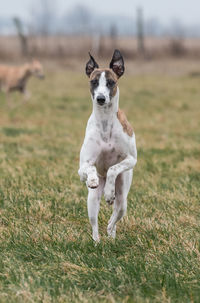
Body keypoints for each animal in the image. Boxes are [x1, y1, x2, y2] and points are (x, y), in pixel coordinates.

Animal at [79, 50, 137, 245]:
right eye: (94, 82)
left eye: (111, 82)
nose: (101, 99)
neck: (105, 122)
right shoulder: (81, 168)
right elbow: (88, 169)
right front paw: (92, 179)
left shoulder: (131, 159)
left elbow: (113, 168)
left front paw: (109, 192)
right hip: (91, 202)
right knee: (95, 225)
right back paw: (97, 242)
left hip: (123, 198)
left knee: (114, 218)